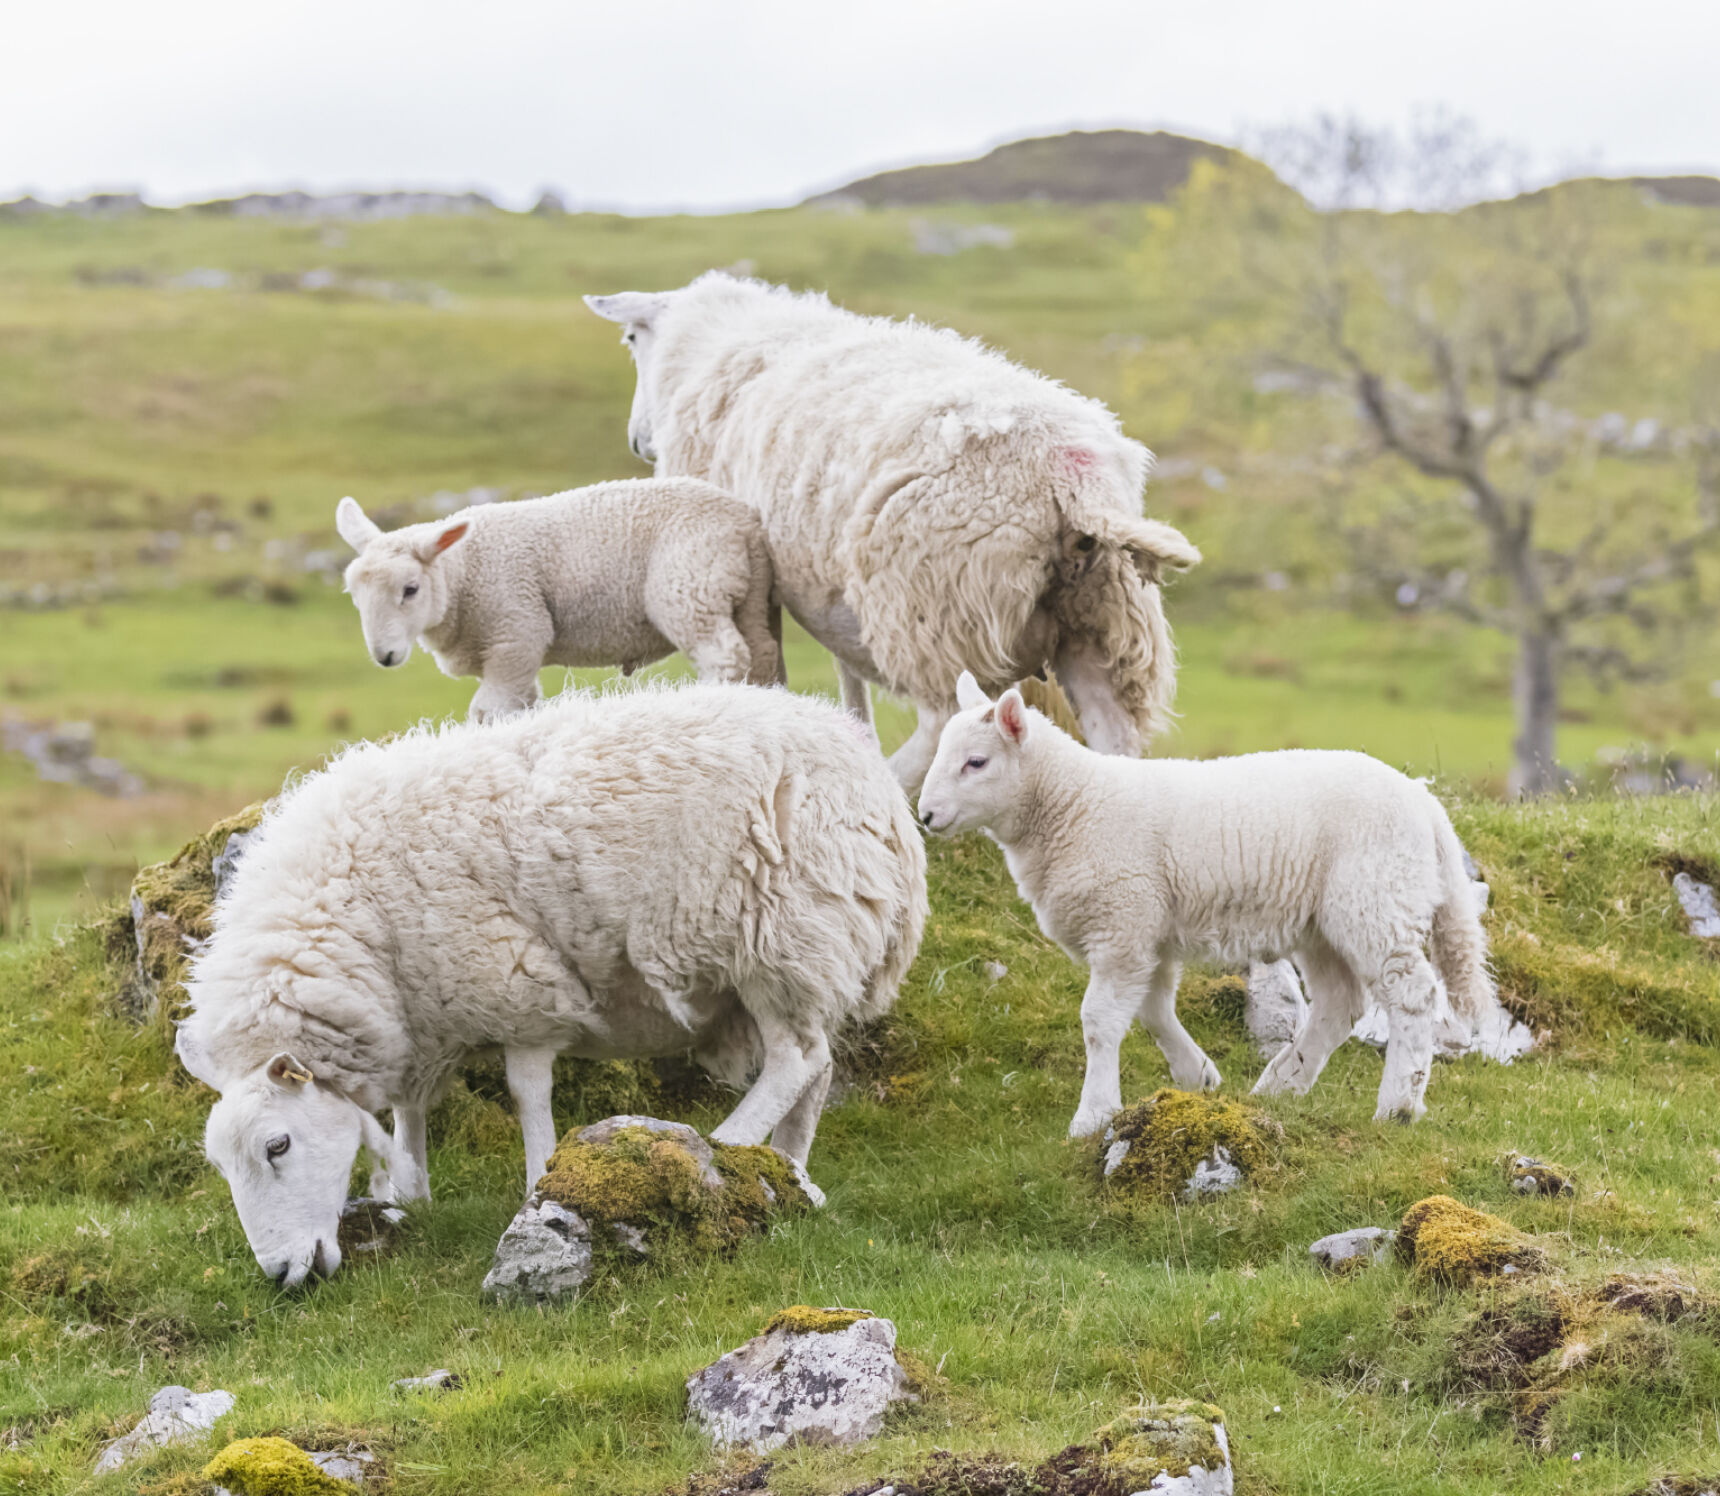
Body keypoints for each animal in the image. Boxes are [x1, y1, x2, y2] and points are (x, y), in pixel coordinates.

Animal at [174, 684, 928, 1279]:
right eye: (222, 1164)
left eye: (277, 1145)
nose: (281, 1275)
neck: (359, 926)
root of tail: (882, 793)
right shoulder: (420, 1015)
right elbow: (408, 1111)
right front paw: (406, 1190)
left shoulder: (516, 986)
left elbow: (526, 1091)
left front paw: (540, 1183)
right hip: (809, 953)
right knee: (815, 1067)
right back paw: (791, 1172)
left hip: (777, 939)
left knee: (795, 1060)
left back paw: (726, 1145)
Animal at [333, 478, 787, 718]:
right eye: (354, 596)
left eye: (410, 589)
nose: (384, 656)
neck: (463, 573)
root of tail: (744, 522)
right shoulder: (509, 657)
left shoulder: (516, 633)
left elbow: (488, 710)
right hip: (746, 597)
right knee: (762, 651)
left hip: (690, 588)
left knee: (724, 657)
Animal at [584, 273, 1204, 790]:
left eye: (632, 339)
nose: (638, 440)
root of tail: (1069, 473)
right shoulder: (823, 584)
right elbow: (841, 669)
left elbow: (771, 661)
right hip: (1100, 615)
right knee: (1115, 737)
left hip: (930, 605)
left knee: (941, 720)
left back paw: (888, 782)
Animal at [921, 674, 1499, 1128]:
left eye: (976, 762)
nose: (924, 815)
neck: (1074, 805)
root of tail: (1426, 805)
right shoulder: (1146, 930)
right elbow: (1154, 1011)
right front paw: (1196, 1076)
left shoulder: (1122, 923)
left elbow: (1100, 1022)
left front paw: (1094, 1115)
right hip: (1322, 921)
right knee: (1340, 1004)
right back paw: (1281, 1084)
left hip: (1376, 900)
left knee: (1412, 996)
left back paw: (1397, 1106)